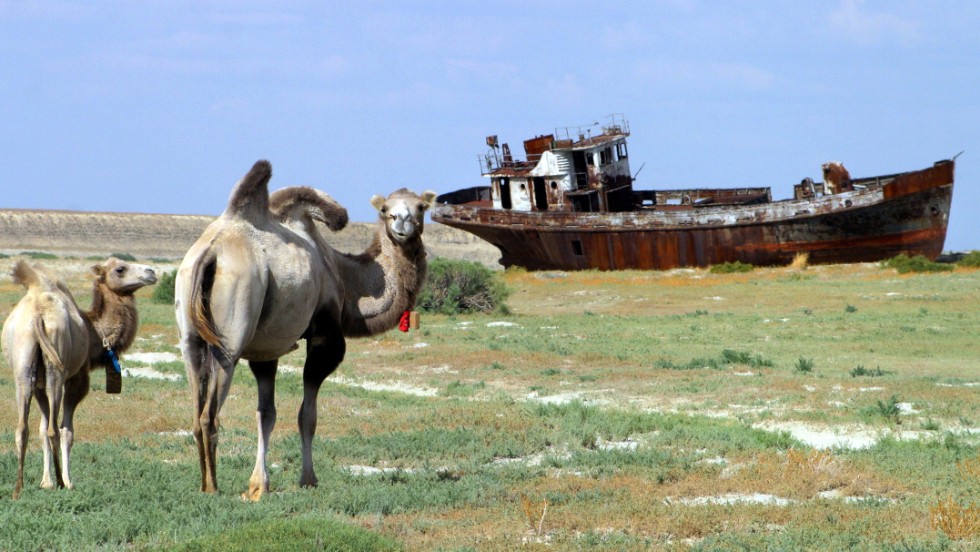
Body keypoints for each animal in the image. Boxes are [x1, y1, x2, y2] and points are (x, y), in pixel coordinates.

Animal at [2, 256, 157, 498]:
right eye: (120, 269)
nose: (151, 272)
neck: (95, 333)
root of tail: (38, 313)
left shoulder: (38, 385)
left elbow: (40, 429)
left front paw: (45, 482)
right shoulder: (78, 379)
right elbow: (67, 431)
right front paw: (66, 481)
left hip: (23, 365)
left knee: (22, 428)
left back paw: (18, 489)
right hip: (57, 367)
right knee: (54, 429)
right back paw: (60, 482)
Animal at [176, 160, 436, 500]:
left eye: (421, 207)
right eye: (384, 209)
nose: (401, 221)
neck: (342, 275)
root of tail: (210, 253)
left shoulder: (266, 348)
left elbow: (266, 414)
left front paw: (258, 485)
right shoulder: (325, 335)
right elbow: (307, 415)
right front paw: (308, 479)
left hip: (190, 334)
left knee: (196, 408)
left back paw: (203, 482)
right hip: (230, 336)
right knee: (210, 414)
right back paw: (212, 487)